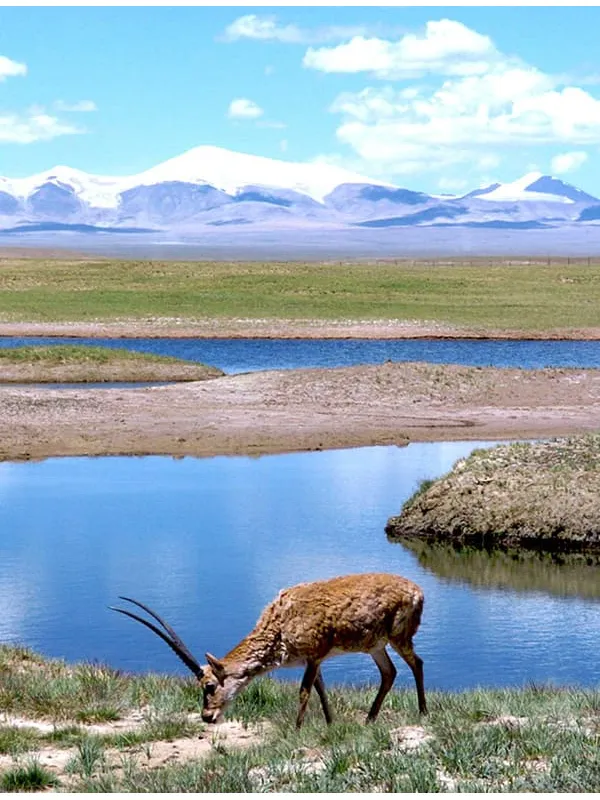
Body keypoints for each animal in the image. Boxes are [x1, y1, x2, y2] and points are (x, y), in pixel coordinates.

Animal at [109, 572, 426, 728]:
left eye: (209, 685)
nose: (207, 716)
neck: (279, 622)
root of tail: (417, 591)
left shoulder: (313, 656)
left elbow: (304, 692)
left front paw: (296, 730)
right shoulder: (313, 660)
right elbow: (321, 690)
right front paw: (330, 724)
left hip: (398, 637)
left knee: (417, 663)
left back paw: (422, 713)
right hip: (375, 646)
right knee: (389, 672)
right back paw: (369, 720)